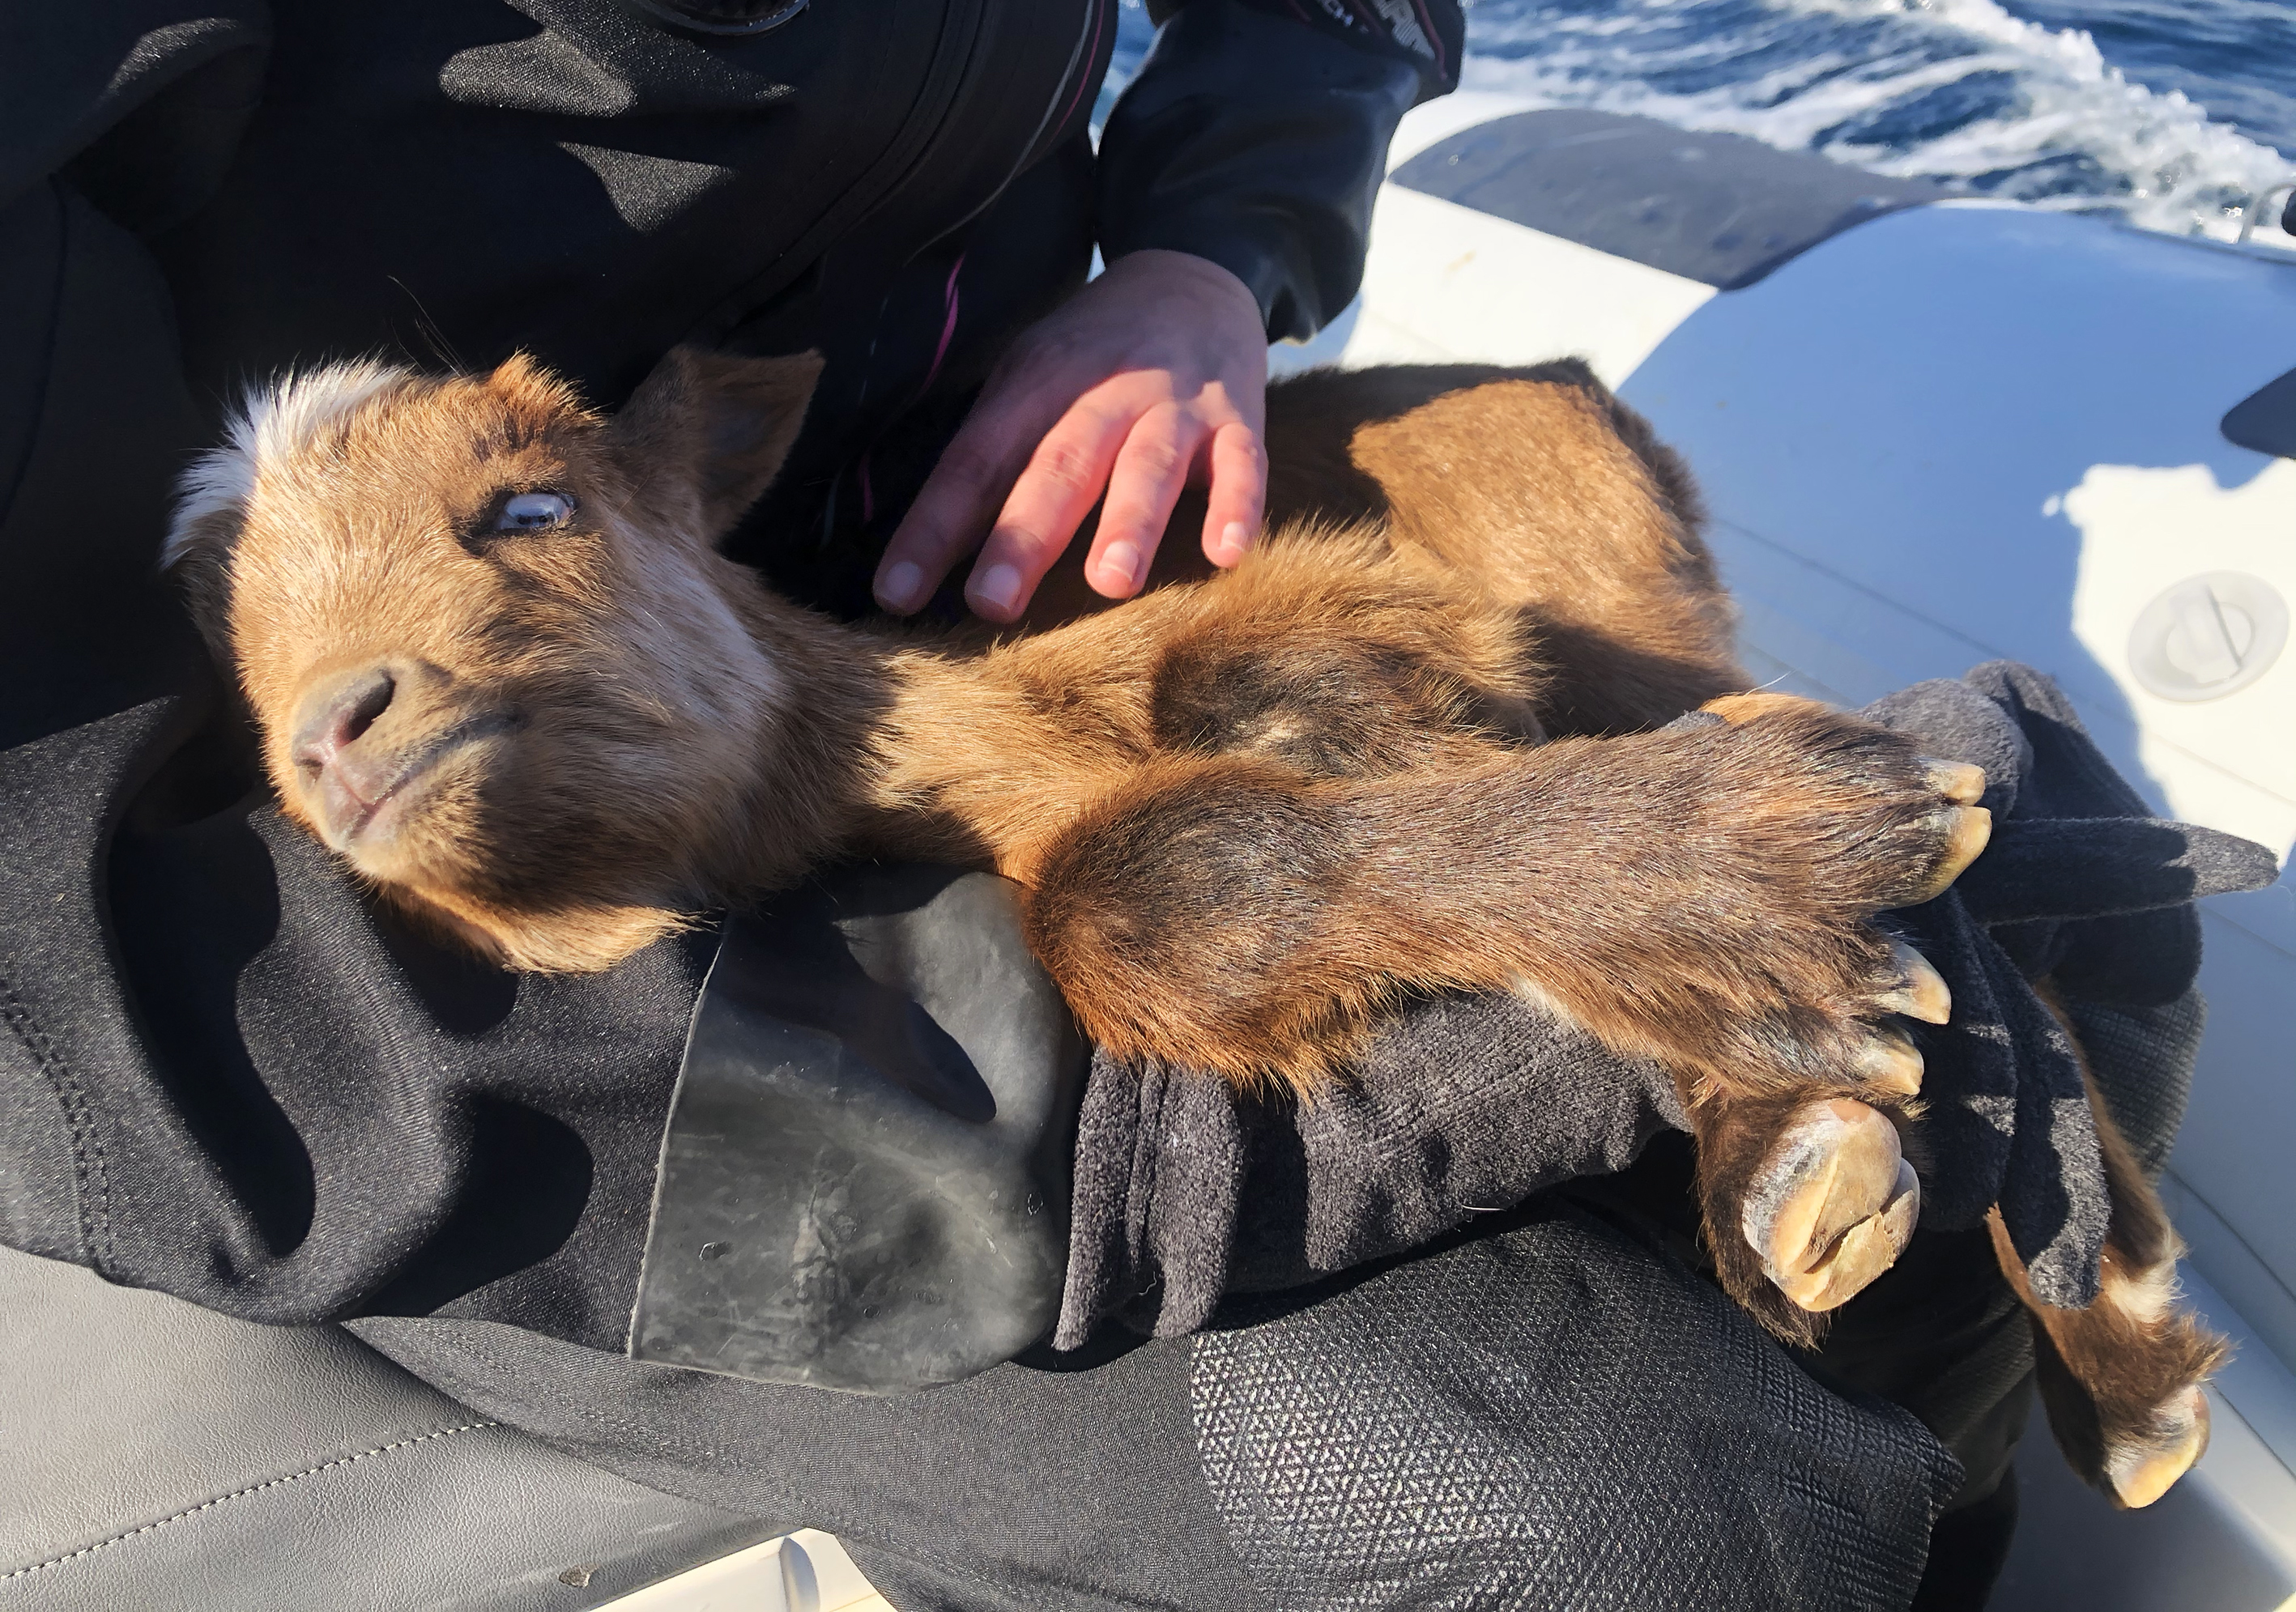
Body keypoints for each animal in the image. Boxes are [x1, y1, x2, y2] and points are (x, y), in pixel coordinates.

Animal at [165, 346, 2222, 1508]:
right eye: (236, 640)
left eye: (531, 504)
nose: (332, 726)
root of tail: (1571, 376)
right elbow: (1146, 875)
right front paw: (1766, 1062)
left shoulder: (1383, 624)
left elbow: (1171, 830)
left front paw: (1736, 871)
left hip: (1625, 587)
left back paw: (2109, 1322)